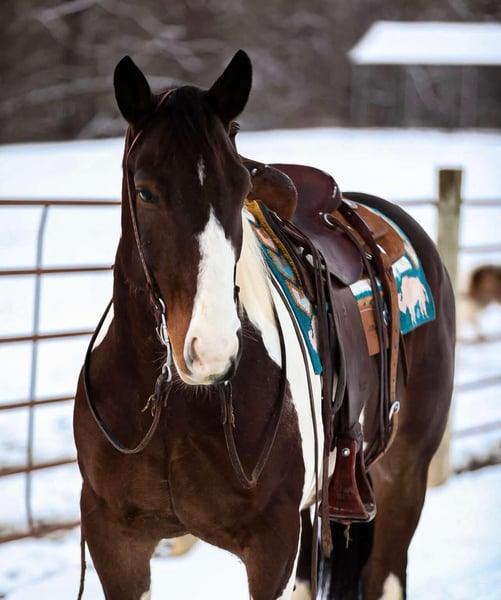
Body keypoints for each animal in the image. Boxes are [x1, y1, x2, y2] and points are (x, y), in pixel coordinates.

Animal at [73, 50, 455, 600]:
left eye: (240, 190)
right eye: (145, 192)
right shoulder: (115, 539)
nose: (210, 352)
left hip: (402, 478)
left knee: (387, 574)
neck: (172, 406)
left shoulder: (271, 544)